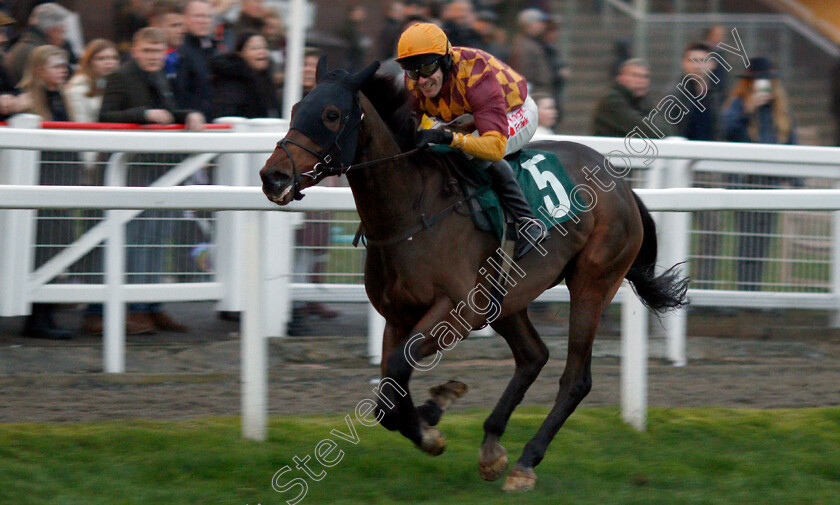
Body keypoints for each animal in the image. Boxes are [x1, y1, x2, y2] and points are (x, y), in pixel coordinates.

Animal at [262, 57, 688, 490]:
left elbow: (397, 370)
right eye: (295, 109)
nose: (273, 176)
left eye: (331, 115)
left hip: (592, 282)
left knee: (575, 379)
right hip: (506, 296)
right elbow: (387, 394)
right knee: (533, 356)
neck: (412, 212)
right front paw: (433, 411)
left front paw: (431, 427)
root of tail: (622, 184)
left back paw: (526, 461)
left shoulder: (458, 310)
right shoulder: (398, 316)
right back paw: (491, 444)